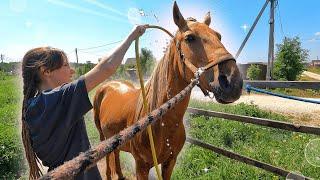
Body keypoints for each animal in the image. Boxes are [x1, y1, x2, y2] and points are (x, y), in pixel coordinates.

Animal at [92, 1, 242, 180]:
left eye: (219, 36)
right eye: (189, 38)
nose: (232, 81)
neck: (160, 121)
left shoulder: (170, 162)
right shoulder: (141, 167)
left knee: (115, 154)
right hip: (103, 137)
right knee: (108, 158)